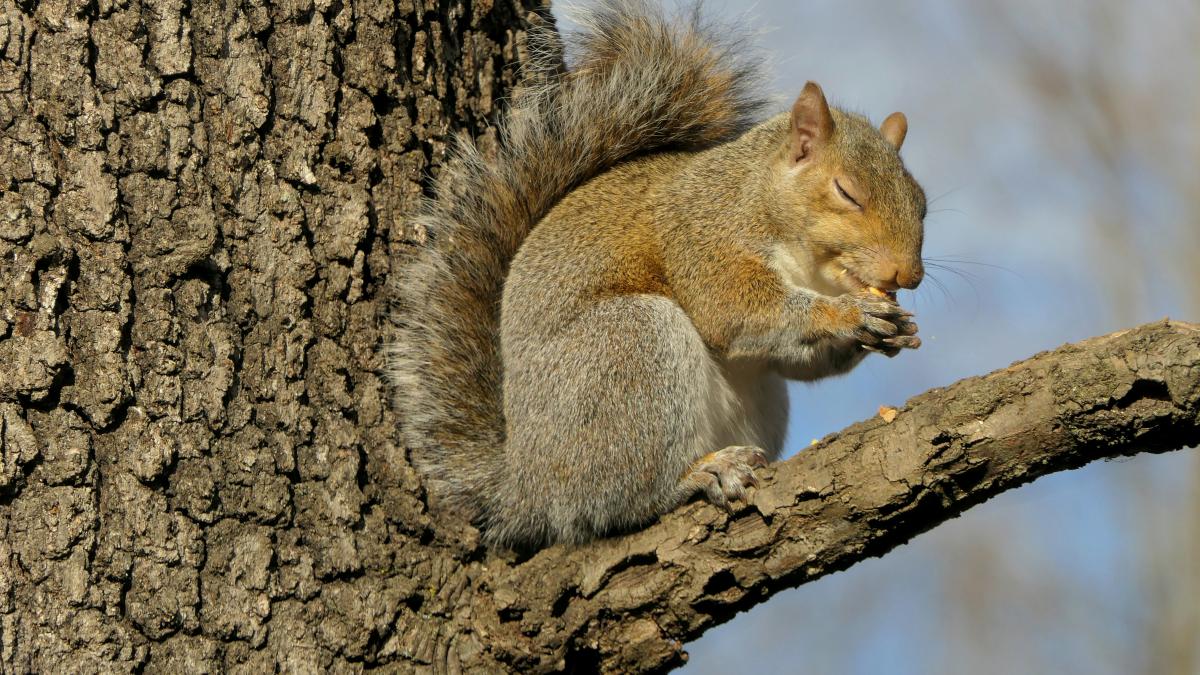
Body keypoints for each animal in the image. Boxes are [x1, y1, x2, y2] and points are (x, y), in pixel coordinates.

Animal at [389, 0, 926, 551]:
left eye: (922, 202)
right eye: (846, 192)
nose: (909, 276)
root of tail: (526, 488)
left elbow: (798, 362)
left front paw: (888, 329)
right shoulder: (703, 237)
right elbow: (735, 309)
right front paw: (849, 313)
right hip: (632, 348)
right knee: (620, 499)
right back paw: (700, 474)